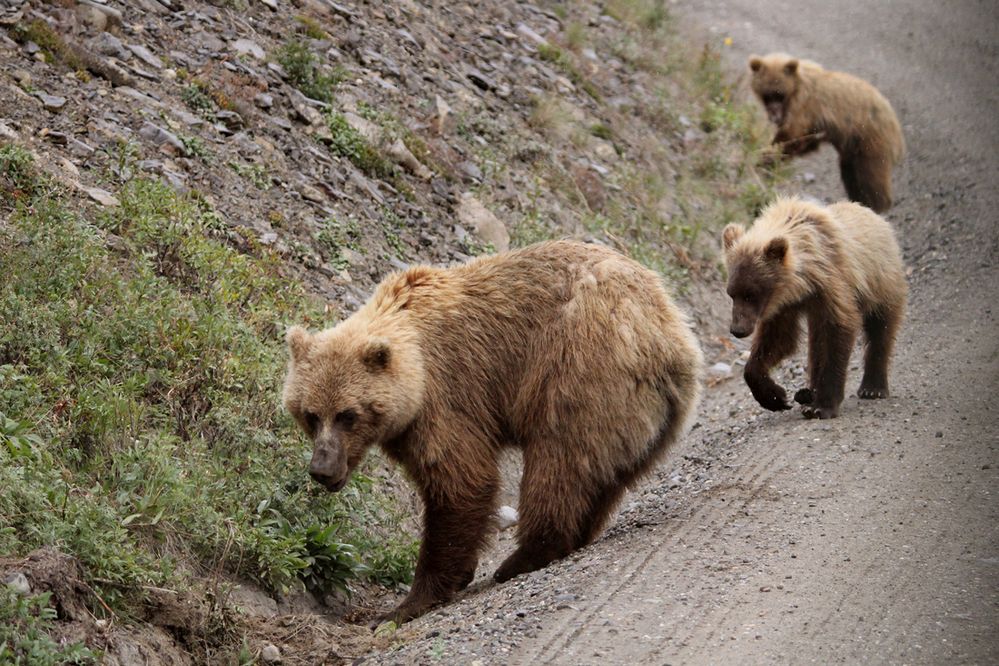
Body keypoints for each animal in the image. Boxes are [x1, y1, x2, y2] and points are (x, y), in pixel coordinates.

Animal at [282, 240, 704, 624]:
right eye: (310, 415)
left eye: (347, 415)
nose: (322, 469)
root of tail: (667, 335)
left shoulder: (448, 393)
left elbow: (461, 480)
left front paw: (408, 603)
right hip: (649, 414)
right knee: (606, 476)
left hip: (578, 369)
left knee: (559, 462)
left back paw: (524, 556)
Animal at [724, 195, 912, 418]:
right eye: (731, 293)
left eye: (751, 294)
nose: (738, 329)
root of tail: (876, 216)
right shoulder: (784, 306)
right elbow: (778, 339)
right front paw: (774, 397)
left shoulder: (832, 284)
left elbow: (838, 332)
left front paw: (822, 405)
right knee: (816, 342)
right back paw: (806, 393)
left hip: (881, 282)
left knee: (880, 329)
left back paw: (872, 387)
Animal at [752, 53, 908, 211]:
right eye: (768, 96)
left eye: (780, 94)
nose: (774, 115)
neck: (796, 88)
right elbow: (805, 142)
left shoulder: (805, 107)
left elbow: (792, 136)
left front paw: (765, 155)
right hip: (852, 151)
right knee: (851, 175)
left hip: (870, 140)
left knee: (870, 178)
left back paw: (874, 205)